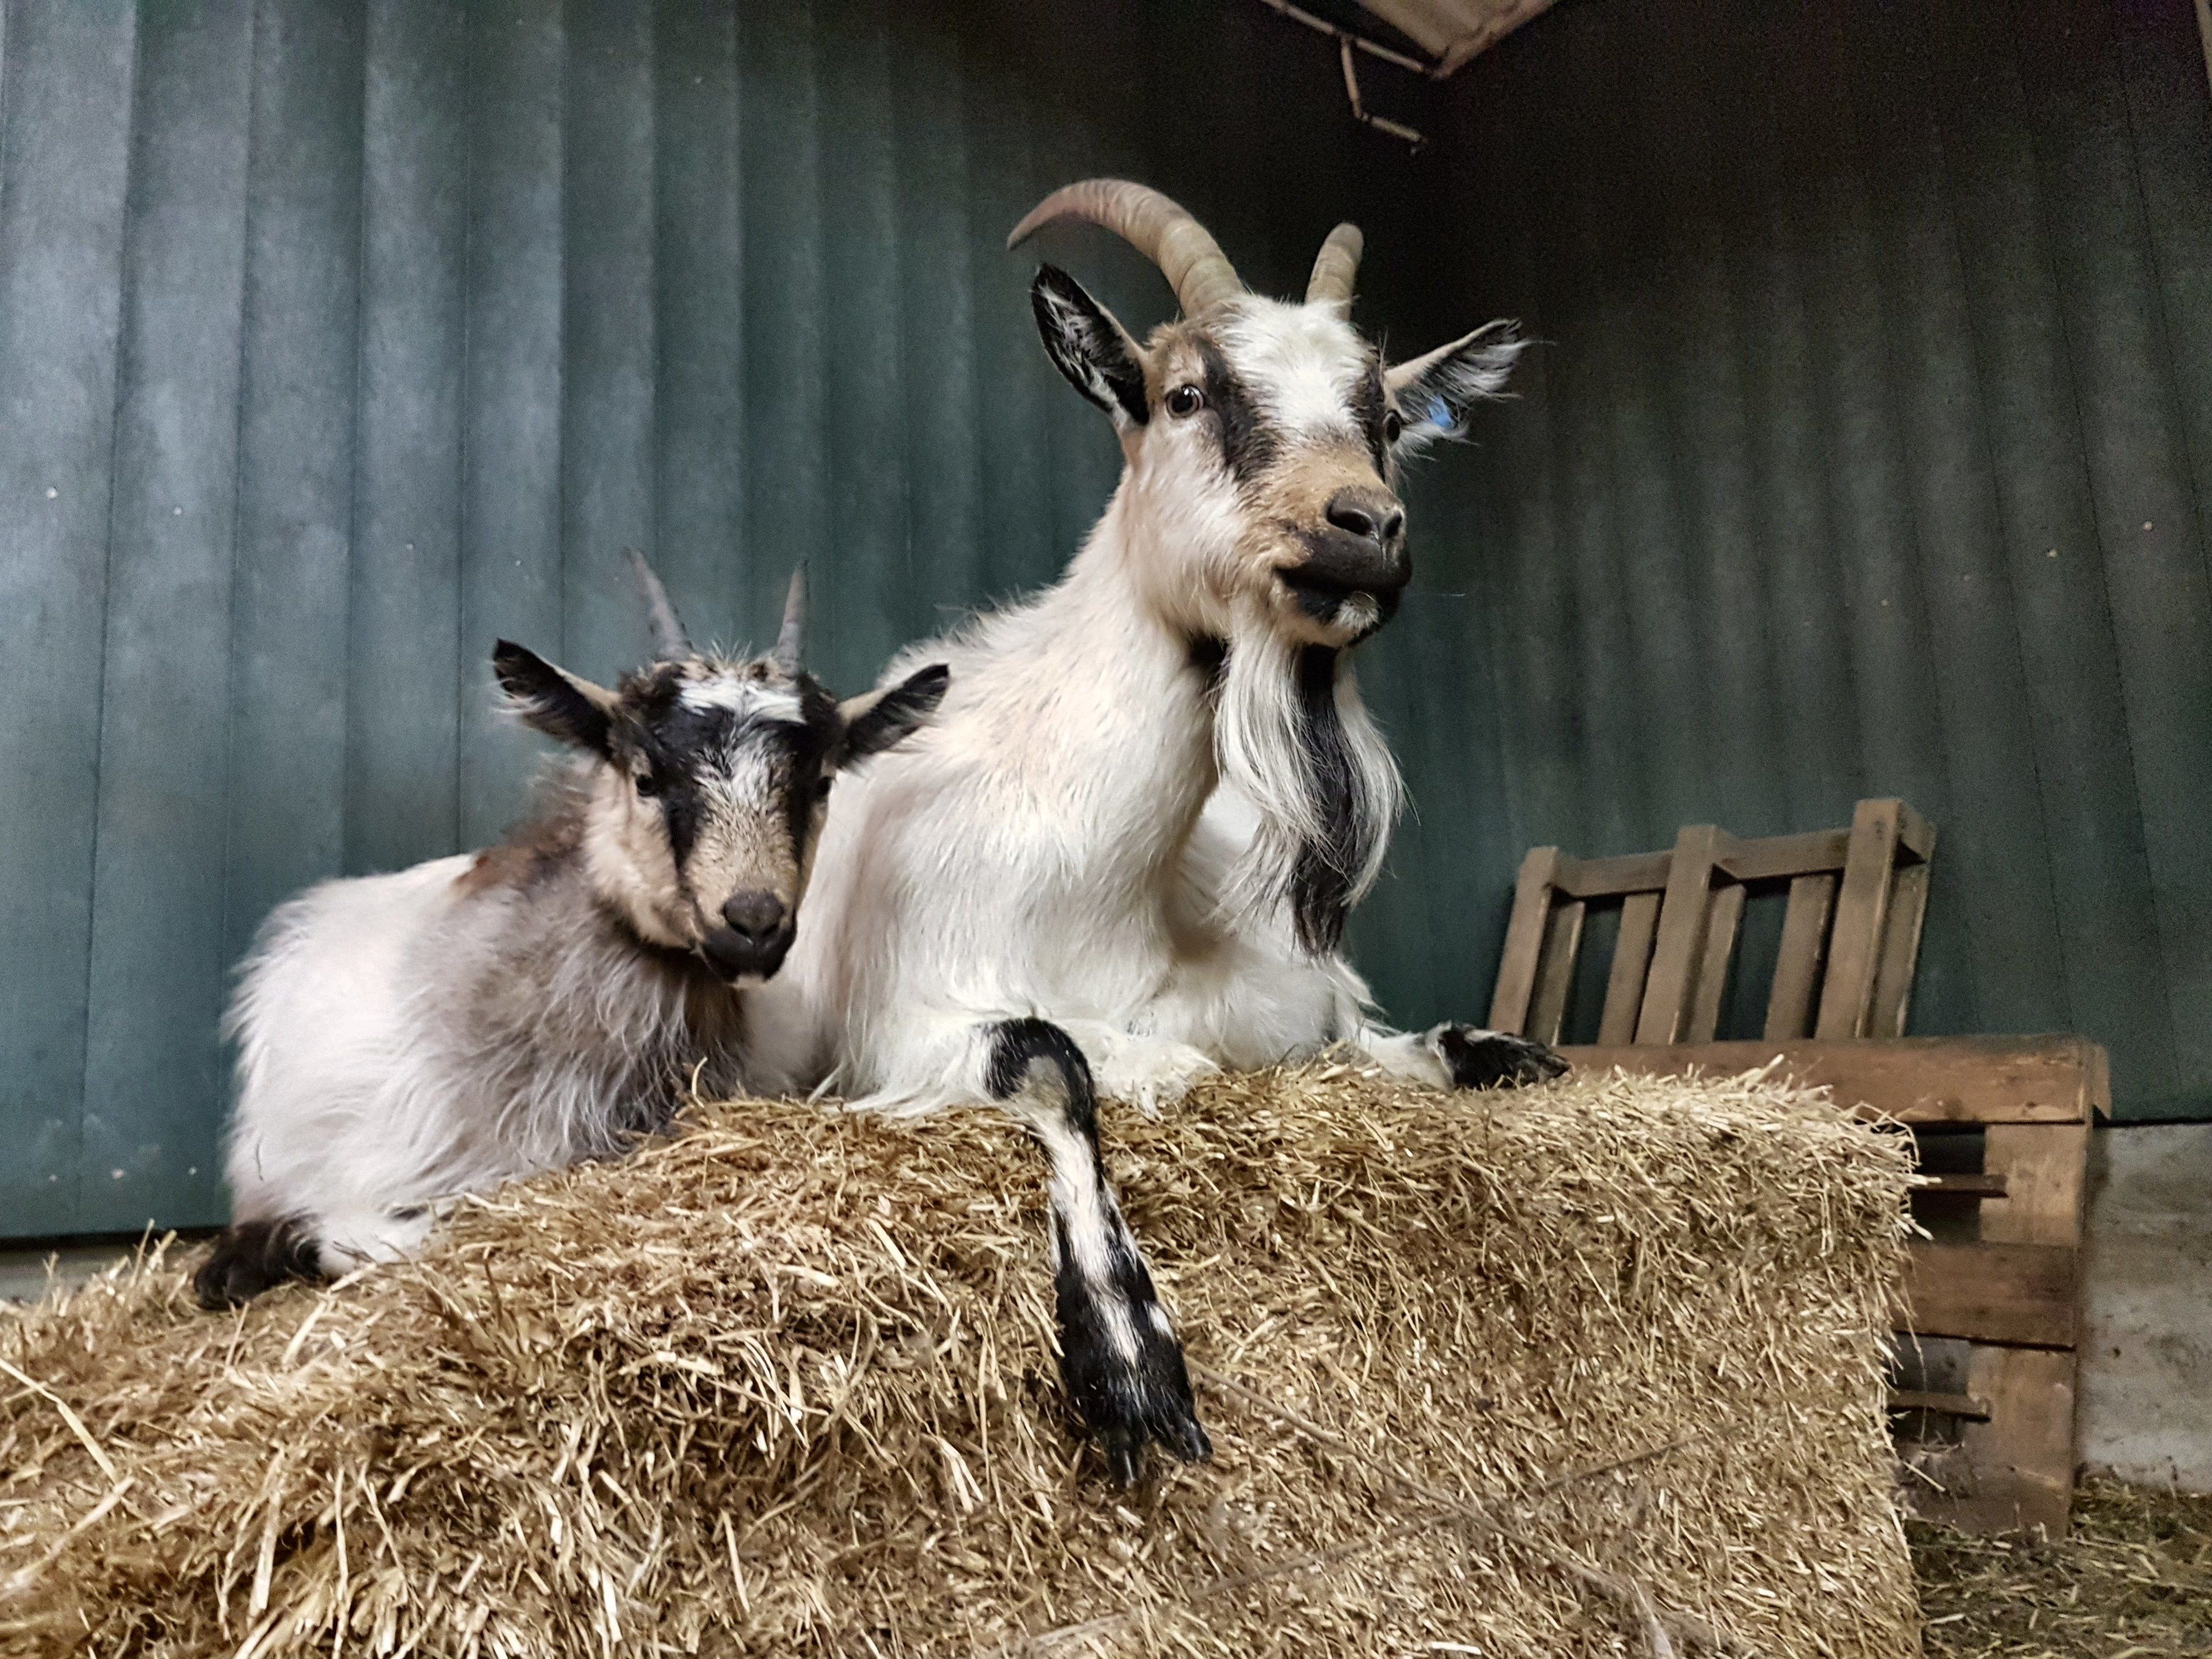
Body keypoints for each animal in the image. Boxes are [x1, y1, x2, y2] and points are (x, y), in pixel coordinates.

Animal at [747, 182, 1567, 1483]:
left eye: (1386, 417)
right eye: (1187, 395)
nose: (1365, 526)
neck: (1100, 886)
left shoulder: (1290, 1003)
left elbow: (1347, 1045)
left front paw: (1498, 1052)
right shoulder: (894, 1031)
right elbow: (1062, 1061)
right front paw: (1132, 1365)